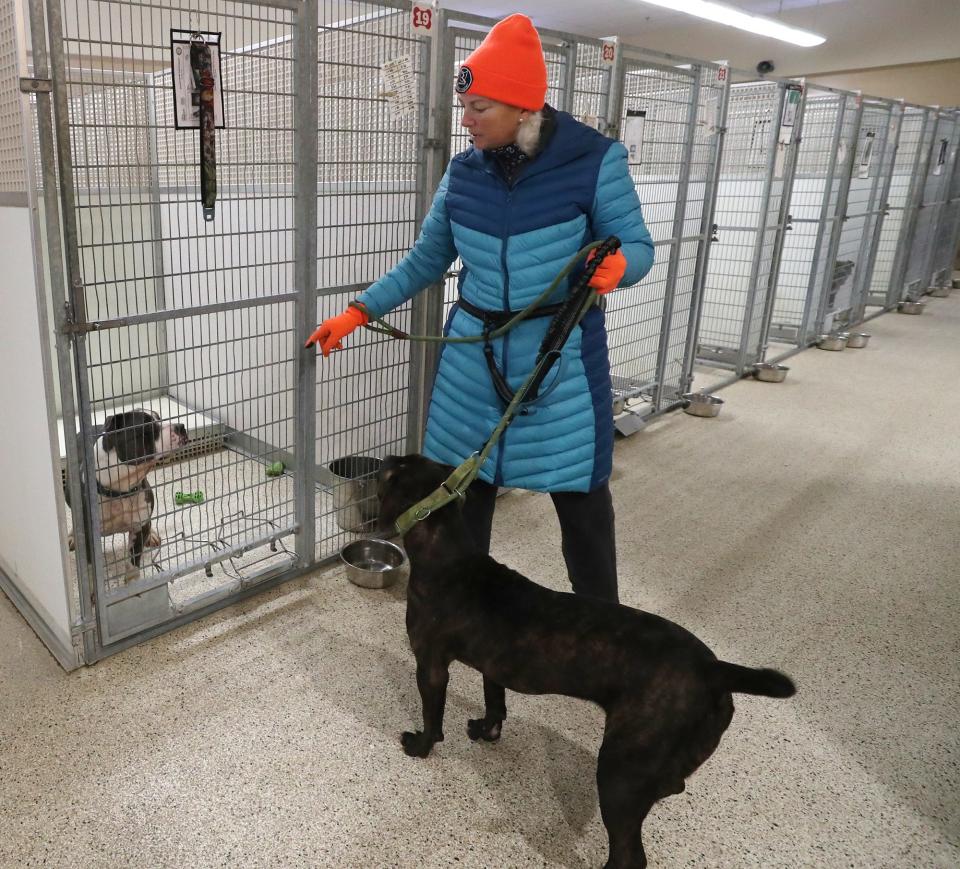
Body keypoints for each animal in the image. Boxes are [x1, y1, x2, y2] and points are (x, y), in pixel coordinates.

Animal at [64, 408, 189, 576]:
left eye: (159, 418)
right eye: (147, 427)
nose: (181, 426)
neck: (121, 490)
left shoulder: (138, 529)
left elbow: (132, 563)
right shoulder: (90, 539)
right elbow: (91, 568)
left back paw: (152, 534)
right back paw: (72, 536)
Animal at [376, 454, 796, 868]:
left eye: (392, 472)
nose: (383, 457)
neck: (449, 555)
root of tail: (714, 670)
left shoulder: (430, 666)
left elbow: (433, 717)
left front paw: (421, 746)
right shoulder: (493, 666)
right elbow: (495, 703)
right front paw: (486, 730)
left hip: (620, 772)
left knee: (629, 854)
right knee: (670, 786)